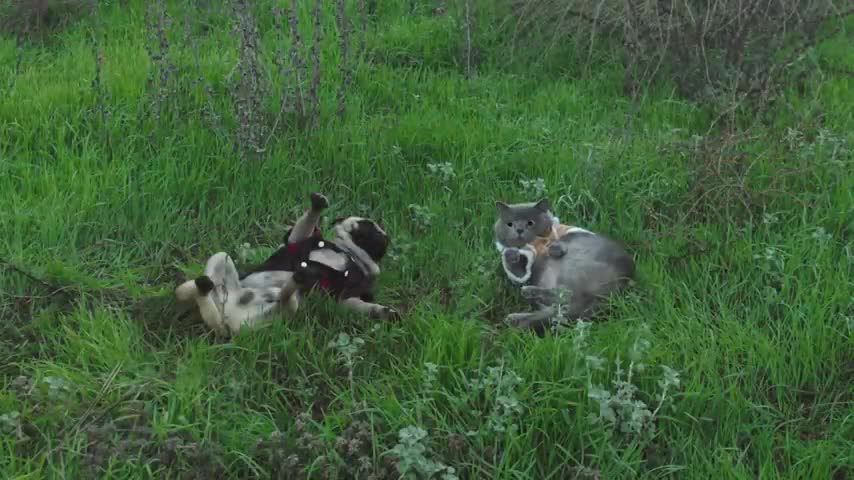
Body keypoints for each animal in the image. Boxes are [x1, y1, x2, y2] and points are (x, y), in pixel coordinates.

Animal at [176, 193, 402, 336]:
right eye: (369, 225)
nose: (383, 234)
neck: (347, 252)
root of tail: (229, 320)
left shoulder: (346, 295)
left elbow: (358, 304)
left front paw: (382, 312)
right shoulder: (298, 240)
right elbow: (305, 226)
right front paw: (317, 204)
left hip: (279, 313)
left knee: (286, 302)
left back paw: (300, 278)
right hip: (221, 265)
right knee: (187, 291)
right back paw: (196, 288)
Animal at [494, 199, 636, 334]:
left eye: (530, 223)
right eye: (510, 224)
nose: (519, 230)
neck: (534, 244)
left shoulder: (563, 233)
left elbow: (555, 242)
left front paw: (553, 248)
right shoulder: (525, 266)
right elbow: (519, 269)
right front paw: (510, 255)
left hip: (576, 269)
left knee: (565, 296)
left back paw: (528, 293)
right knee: (555, 310)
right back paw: (514, 317)